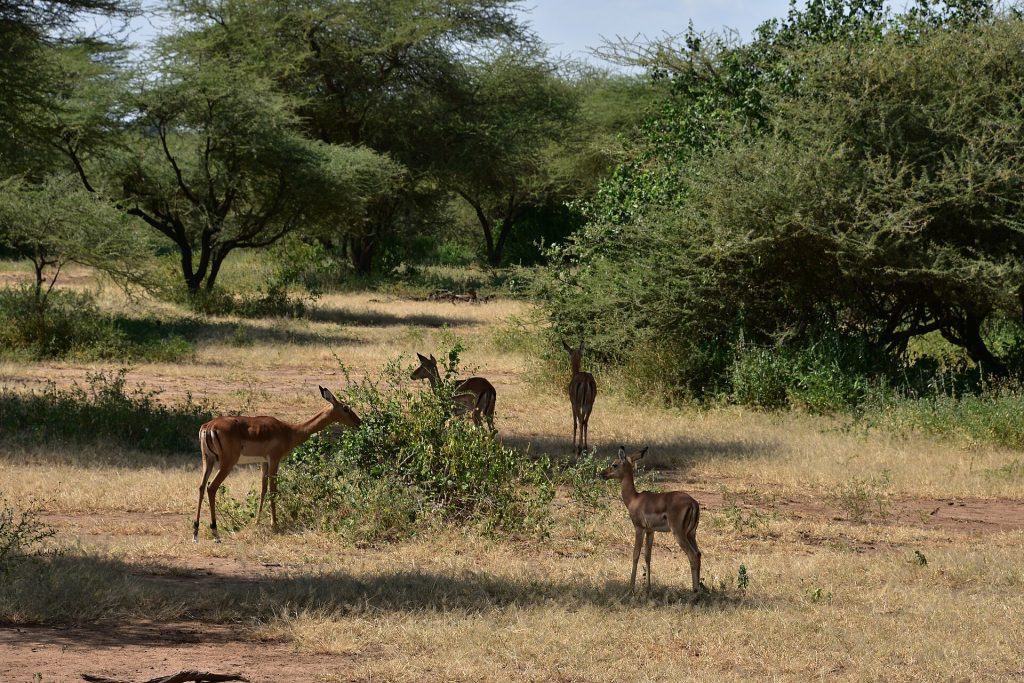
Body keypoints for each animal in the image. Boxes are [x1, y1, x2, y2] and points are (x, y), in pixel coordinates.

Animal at [193, 386, 361, 542]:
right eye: (346, 408)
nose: (359, 423)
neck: (290, 431)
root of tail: (208, 427)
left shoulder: (264, 462)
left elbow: (263, 489)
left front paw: (258, 522)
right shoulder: (275, 459)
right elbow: (273, 490)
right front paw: (274, 524)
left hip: (207, 460)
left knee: (201, 487)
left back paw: (195, 532)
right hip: (227, 464)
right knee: (211, 488)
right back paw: (215, 532)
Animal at [601, 446, 702, 594]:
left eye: (614, 464)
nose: (602, 474)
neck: (634, 499)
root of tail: (693, 503)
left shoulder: (639, 528)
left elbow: (635, 554)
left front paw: (631, 588)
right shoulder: (651, 531)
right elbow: (648, 556)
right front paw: (648, 588)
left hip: (678, 533)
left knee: (692, 555)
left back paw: (694, 591)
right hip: (691, 534)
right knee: (698, 554)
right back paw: (700, 588)